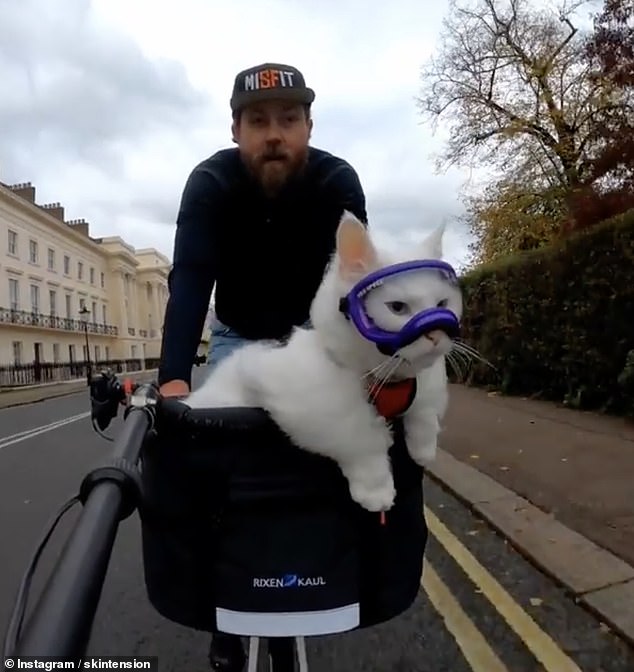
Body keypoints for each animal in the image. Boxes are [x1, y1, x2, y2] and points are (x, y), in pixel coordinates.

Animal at [185, 213, 462, 512]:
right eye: (397, 308)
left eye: (442, 304)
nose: (435, 334)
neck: (381, 374)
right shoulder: (309, 402)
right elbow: (362, 438)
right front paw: (376, 490)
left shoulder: (425, 382)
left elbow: (425, 408)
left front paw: (423, 448)